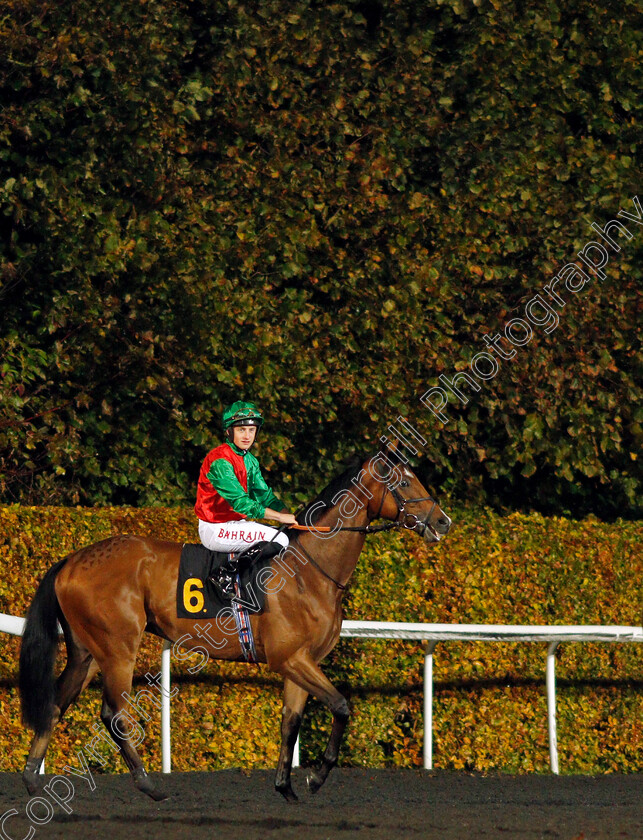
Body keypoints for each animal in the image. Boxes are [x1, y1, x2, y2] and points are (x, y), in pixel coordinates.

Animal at [20, 446, 452, 800]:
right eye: (403, 481)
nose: (443, 521)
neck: (311, 569)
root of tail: (72, 560)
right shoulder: (290, 658)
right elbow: (342, 706)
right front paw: (316, 778)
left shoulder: (301, 662)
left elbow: (291, 721)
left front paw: (285, 786)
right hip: (118, 650)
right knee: (114, 715)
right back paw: (149, 784)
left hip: (87, 653)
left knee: (55, 704)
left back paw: (31, 780)